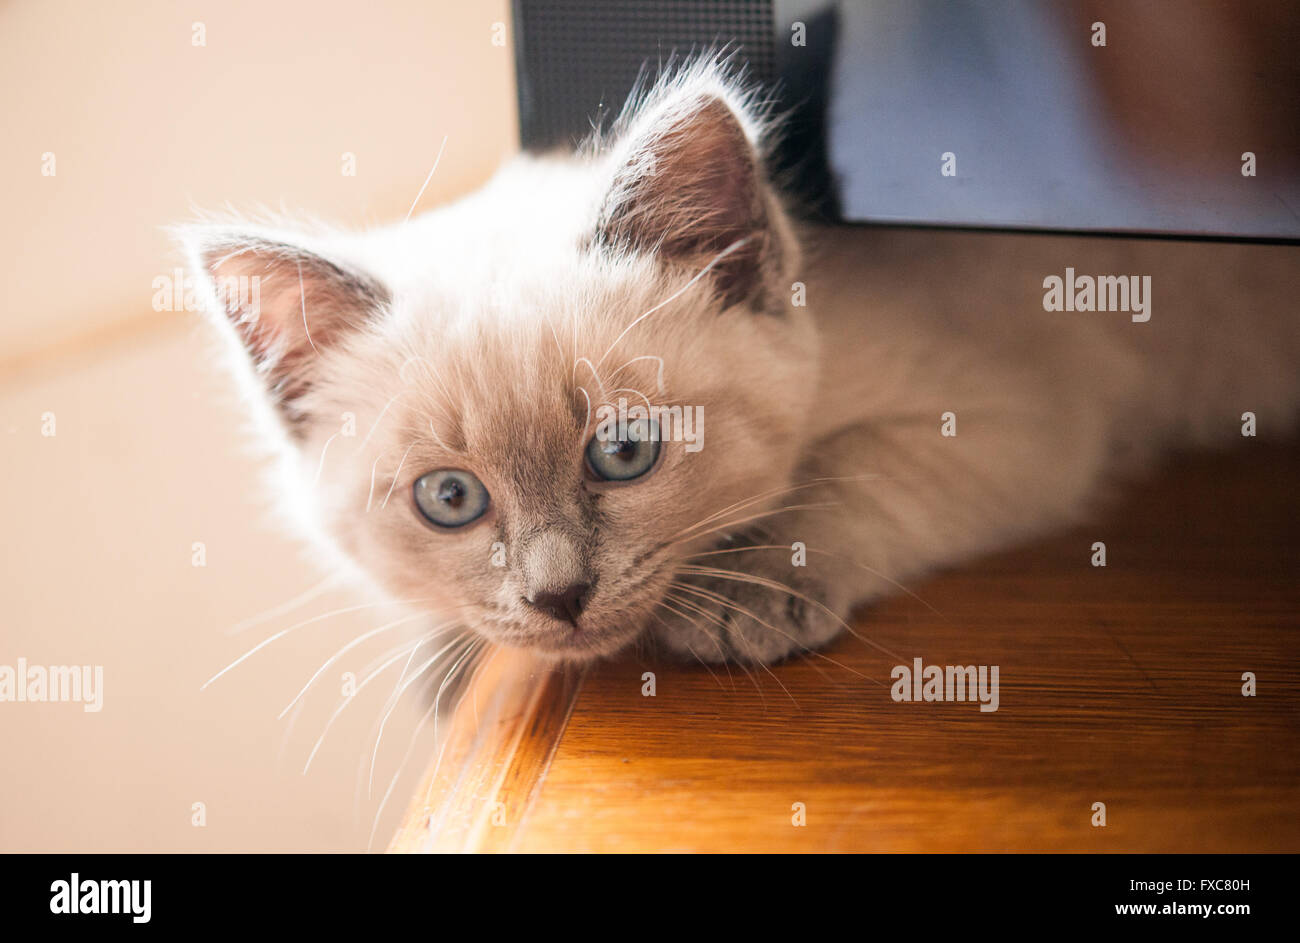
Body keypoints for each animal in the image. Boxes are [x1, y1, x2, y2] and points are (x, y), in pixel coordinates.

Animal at [183, 58, 1300, 665]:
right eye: (450, 500)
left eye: (625, 453)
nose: (557, 597)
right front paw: (448, 657)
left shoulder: (1023, 410)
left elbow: (848, 470)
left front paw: (746, 590)